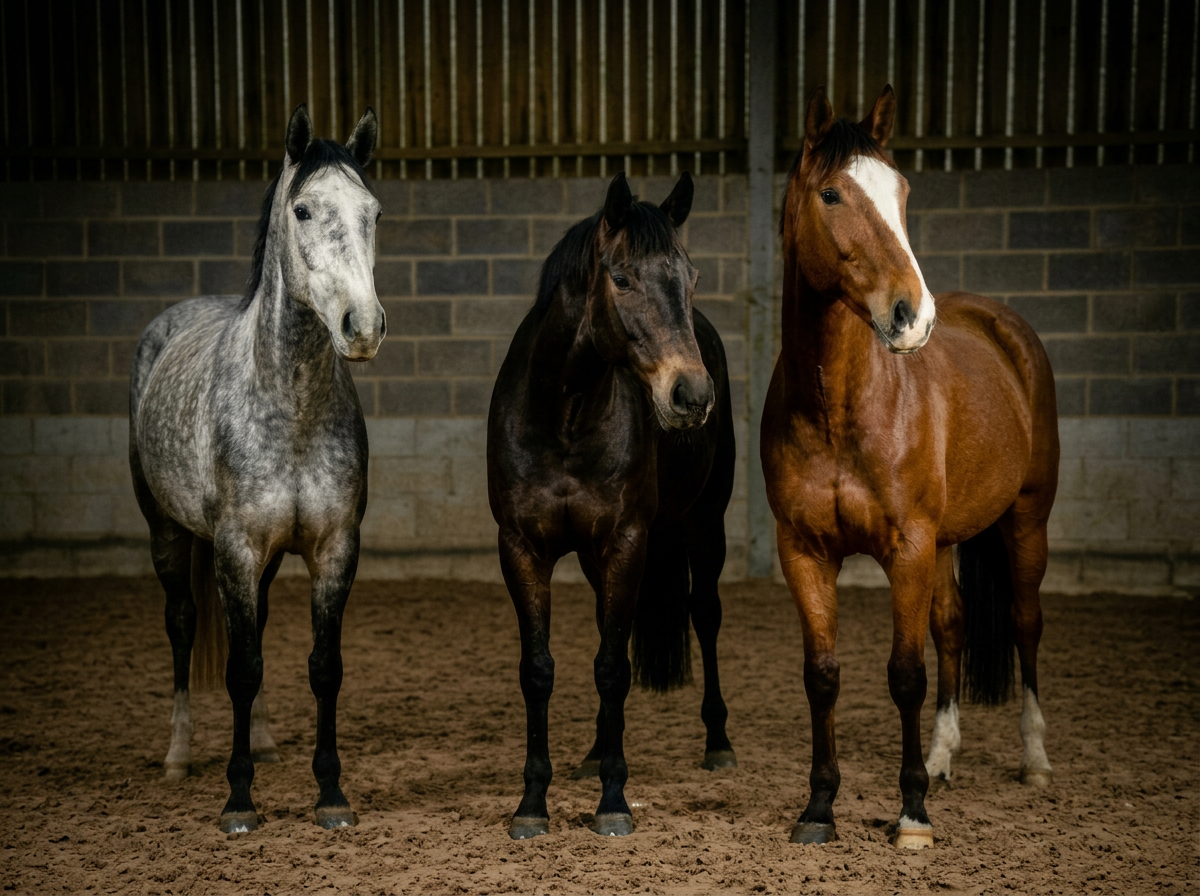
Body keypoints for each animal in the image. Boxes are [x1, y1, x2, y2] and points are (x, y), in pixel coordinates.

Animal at [129, 104, 383, 833]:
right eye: (302, 209)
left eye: (372, 212)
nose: (362, 326)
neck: (289, 407)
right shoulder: (235, 549)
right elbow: (241, 667)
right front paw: (238, 799)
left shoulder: (333, 549)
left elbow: (322, 666)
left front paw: (330, 794)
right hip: (169, 536)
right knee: (183, 626)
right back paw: (180, 755)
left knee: (261, 624)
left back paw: (266, 743)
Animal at [487, 171, 737, 840]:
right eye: (621, 279)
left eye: (691, 276)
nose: (691, 395)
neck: (565, 418)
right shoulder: (522, 548)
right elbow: (540, 668)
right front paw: (532, 803)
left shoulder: (628, 541)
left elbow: (613, 668)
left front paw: (613, 802)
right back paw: (596, 752)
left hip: (705, 527)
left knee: (704, 614)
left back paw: (718, 743)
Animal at [760, 85, 1059, 849]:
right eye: (831, 193)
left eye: (901, 191)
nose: (911, 317)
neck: (841, 409)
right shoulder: (804, 551)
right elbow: (823, 674)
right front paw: (819, 808)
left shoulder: (910, 548)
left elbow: (904, 675)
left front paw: (913, 816)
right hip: (951, 540)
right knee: (953, 626)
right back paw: (944, 758)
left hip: (1024, 522)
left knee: (1024, 623)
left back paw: (1034, 761)